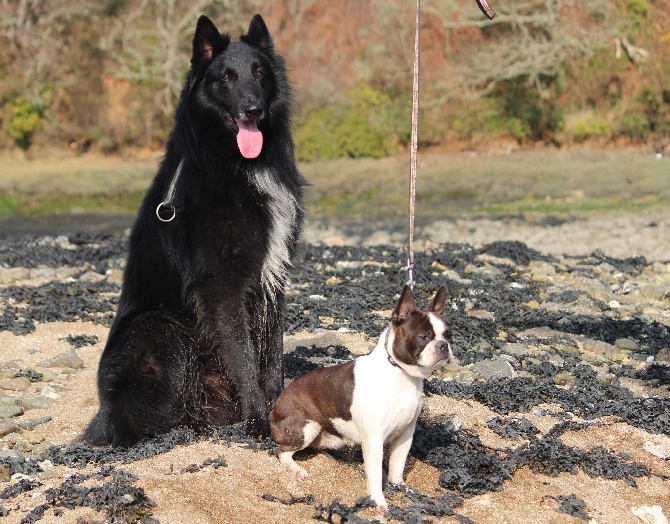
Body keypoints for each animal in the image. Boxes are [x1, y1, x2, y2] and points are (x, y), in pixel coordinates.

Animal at [84, 13, 308, 446]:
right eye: (226, 77)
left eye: (259, 73)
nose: (253, 109)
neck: (236, 164)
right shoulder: (222, 286)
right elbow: (243, 356)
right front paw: (258, 420)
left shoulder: (273, 275)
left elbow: (271, 351)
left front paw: (276, 408)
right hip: (158, 328)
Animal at [270, 284, 454, 512]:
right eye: (424, 337)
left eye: (449, 335)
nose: (443, 345)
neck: (402, 374)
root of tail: (274, 407)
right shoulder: (374, 440)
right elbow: (375, 475)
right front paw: (379, 502)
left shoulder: (405, 434)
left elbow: (397, 465)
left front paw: (400, 486)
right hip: (306, 426)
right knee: (281, 451)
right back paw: (296, 469)